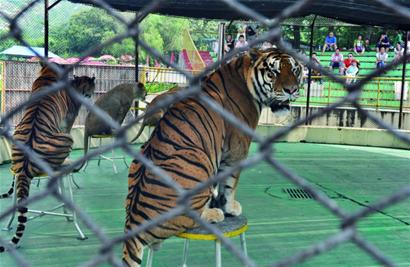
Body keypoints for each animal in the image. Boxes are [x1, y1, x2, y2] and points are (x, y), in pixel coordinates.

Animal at [0, 62, 95, 253]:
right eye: (90, 87)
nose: (90, 95)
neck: (48, 75)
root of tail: (24, 167)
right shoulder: (67, 122)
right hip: (68, 138)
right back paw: (65, 165)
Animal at [121, 48, 302, 267]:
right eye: (273, 72)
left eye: (294, 70)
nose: (291, 90)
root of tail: (133, 223)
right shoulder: (236, 149)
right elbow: (231, 183)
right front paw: (229, 207)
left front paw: (217, 201)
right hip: (199, 159)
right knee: (189, 219)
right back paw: (213, 214)